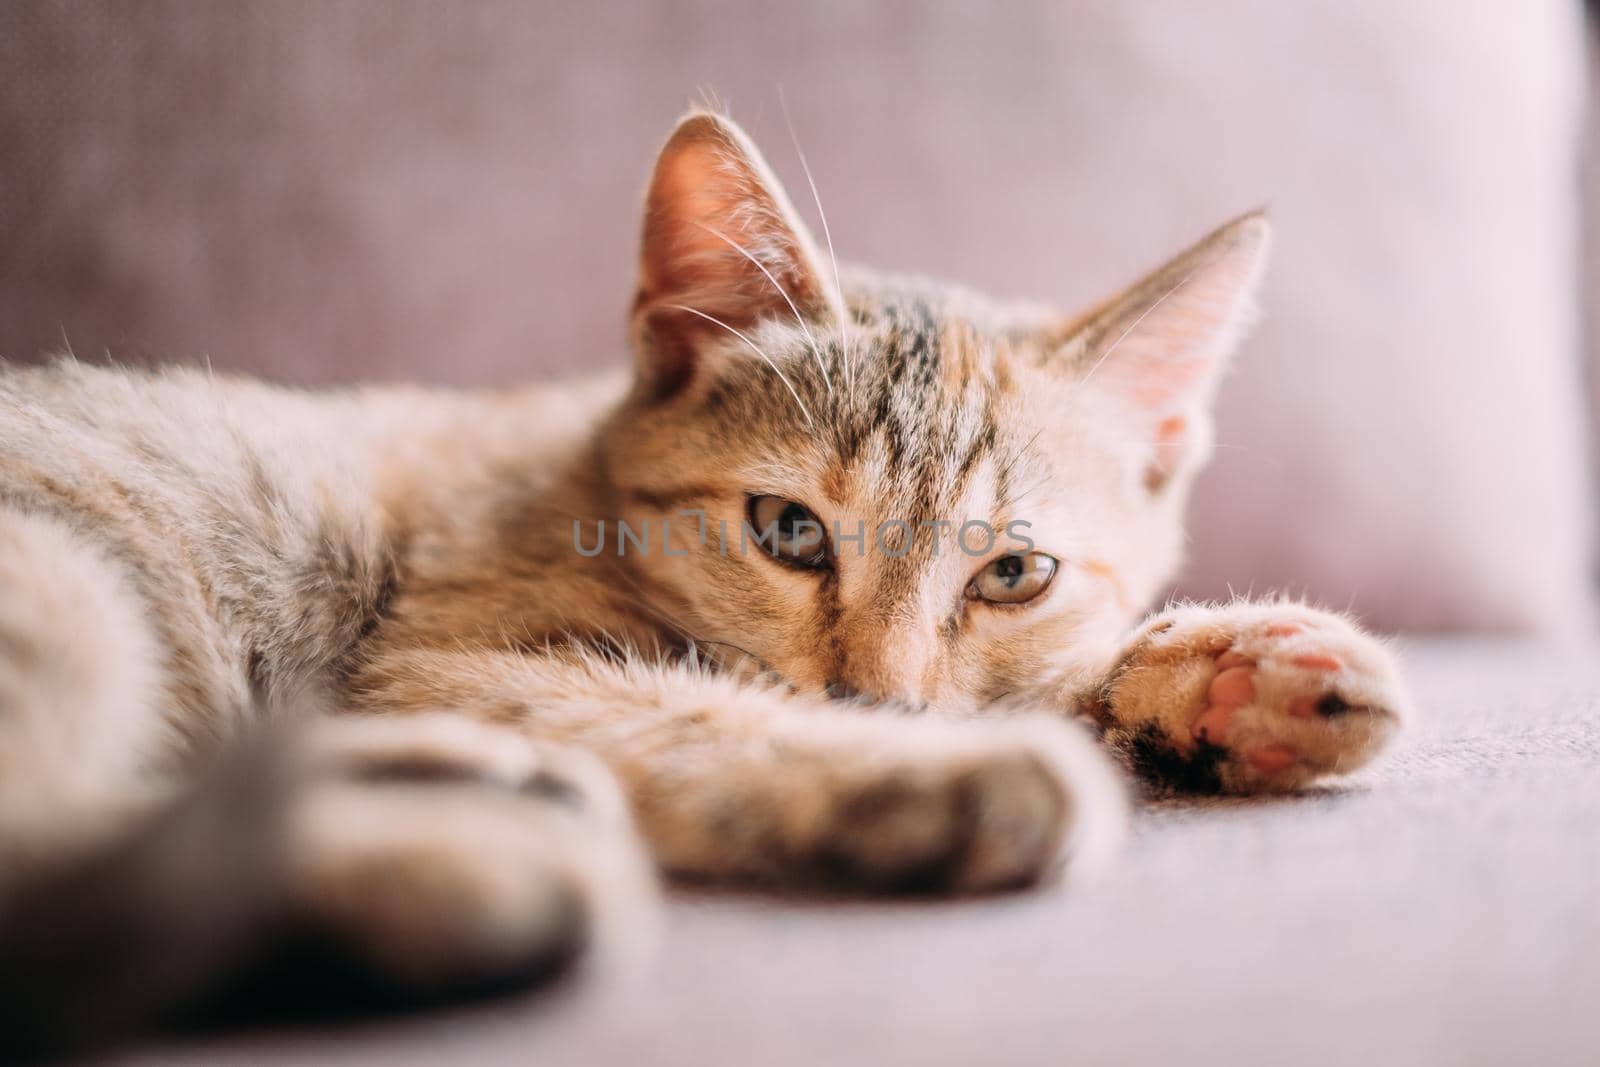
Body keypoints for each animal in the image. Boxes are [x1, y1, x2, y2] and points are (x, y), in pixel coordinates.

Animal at [0, 106, 1408, 1049]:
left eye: (1014, 569)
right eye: (788, 530)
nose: (877, 700)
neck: (584, 492)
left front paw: (1225, 679)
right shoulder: (434, 654)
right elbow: (698, 711)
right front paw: (926, 765)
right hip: (64, 585)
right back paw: (475, 866)